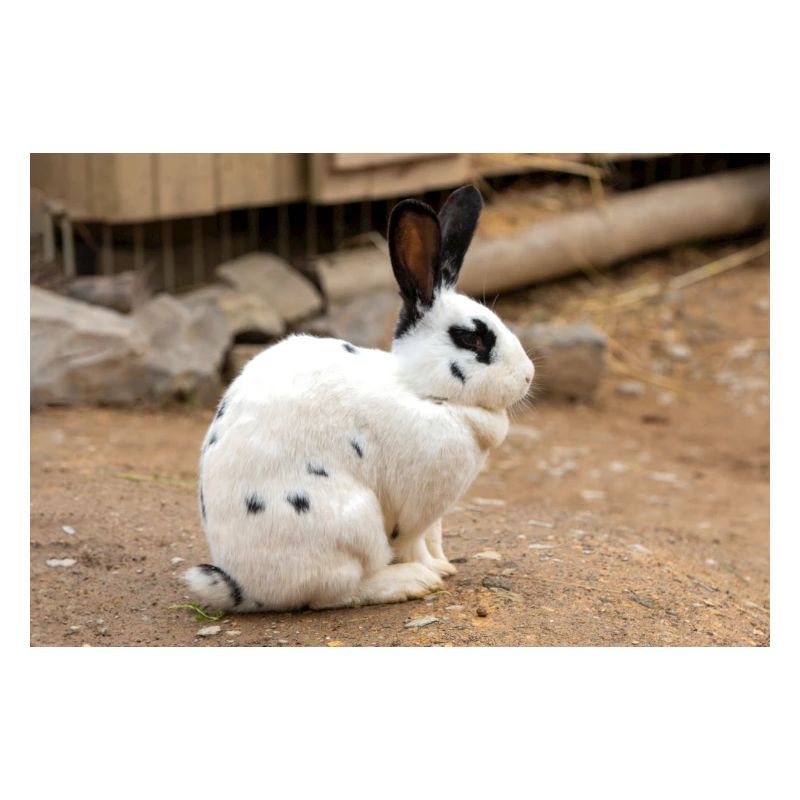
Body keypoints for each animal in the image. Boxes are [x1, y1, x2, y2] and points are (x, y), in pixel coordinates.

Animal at [183, 185, 534, 611]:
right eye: (472, 338)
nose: (528, 375)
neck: (422, 391)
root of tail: (241, 585)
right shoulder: (414, 510)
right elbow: (413, 543)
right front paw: (431, 572)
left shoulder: (434, 517)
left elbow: (434, 539)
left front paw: (445, 566)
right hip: (354, 521)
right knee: (338, 590)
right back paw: (410, 581)